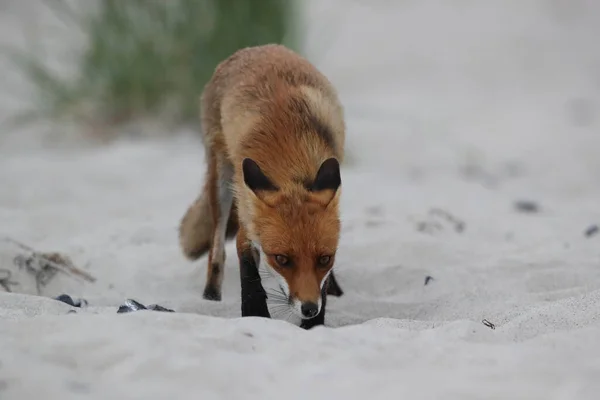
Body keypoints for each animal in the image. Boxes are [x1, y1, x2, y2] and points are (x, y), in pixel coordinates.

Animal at [178, 44, 344, 328]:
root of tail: (256, 48)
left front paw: (314, 325)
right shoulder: (247, 214)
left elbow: (321, 285)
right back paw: (211, 295)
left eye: (325, 258)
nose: (309, 309)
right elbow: (249, 272)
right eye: (282, 259)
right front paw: (255, 314)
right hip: (222, 182)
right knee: (216, 250)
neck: (291, 165)